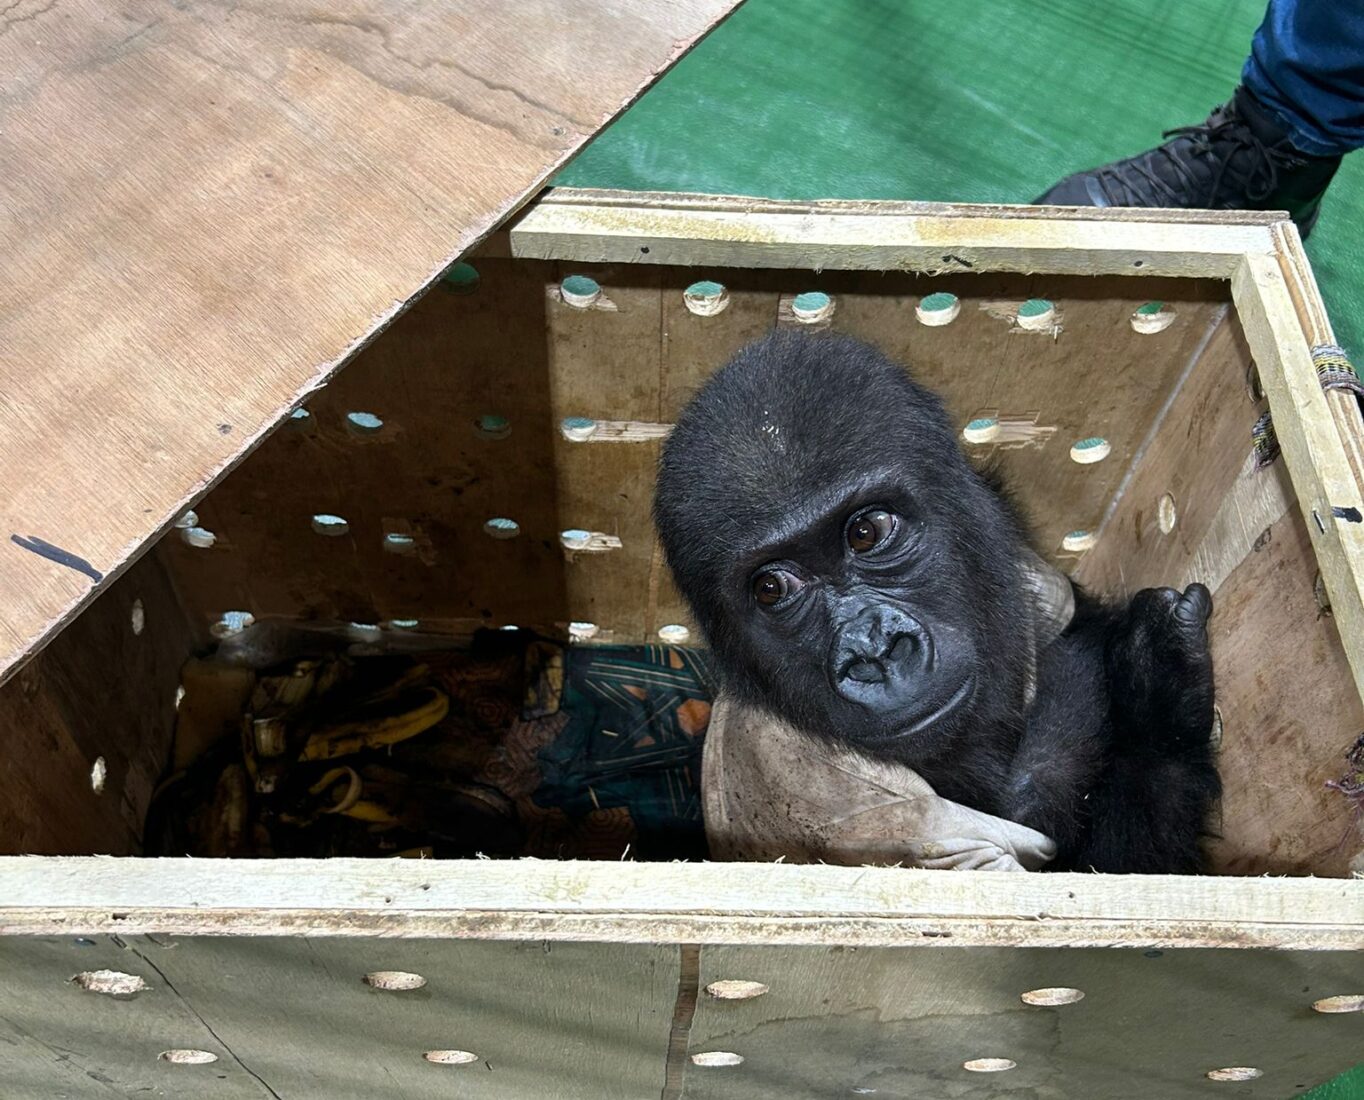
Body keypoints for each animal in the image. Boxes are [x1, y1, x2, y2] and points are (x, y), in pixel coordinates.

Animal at [654, 331, 1222, 873]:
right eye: (772, 588)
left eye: (866, 531)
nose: (874, 651)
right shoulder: (863, 808)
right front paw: (1159, 702)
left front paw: (1153, 677)